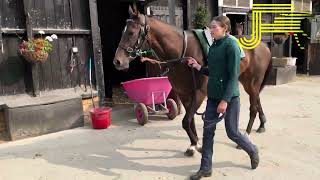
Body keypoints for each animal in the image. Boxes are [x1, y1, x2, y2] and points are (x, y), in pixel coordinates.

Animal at [114, 5, 272, 156]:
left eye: (131, 32)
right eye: (123, 31)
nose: (117, 61)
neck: (183, 53)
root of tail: (264, 46)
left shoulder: (199, 93)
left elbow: (185, 121)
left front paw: (196, 144)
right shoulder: (184, 94)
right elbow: (190, 122)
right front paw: (194, 145)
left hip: (252, 83)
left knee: (253, 108)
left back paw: (246, 135)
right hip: (247, 83)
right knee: (257, 101)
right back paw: (261, 125)